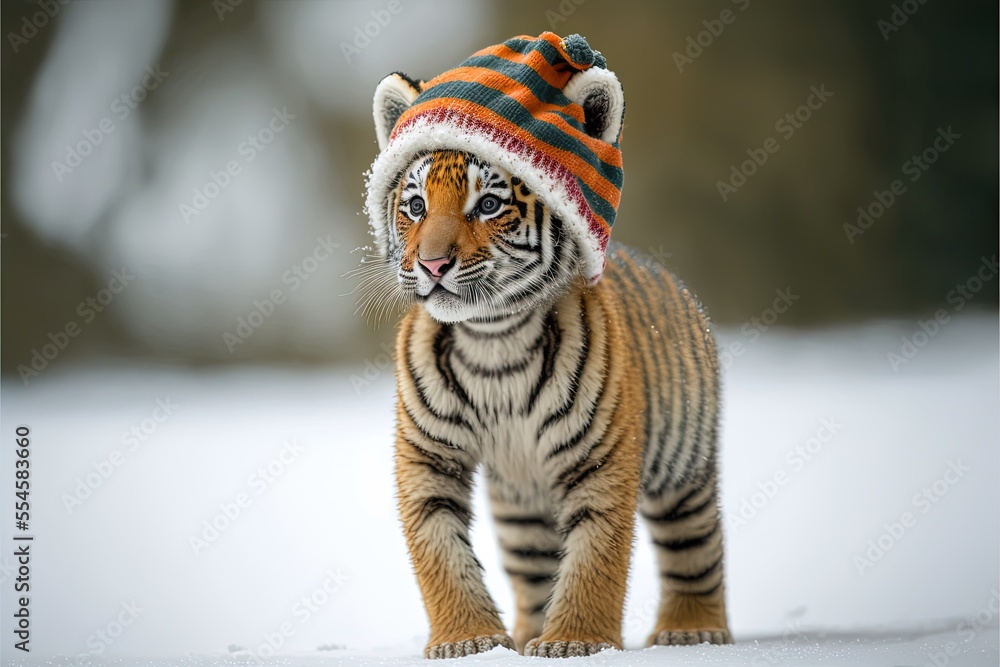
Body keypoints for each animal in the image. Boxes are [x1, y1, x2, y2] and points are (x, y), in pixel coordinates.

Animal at [359, 33, 732, 659]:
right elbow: (439, 551)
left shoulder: (601, 458)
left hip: (683, 466)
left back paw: (692, 631)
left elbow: (595, 558)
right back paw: (528, 634)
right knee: (535, 572)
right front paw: (470, 642)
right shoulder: (428, 455)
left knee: (696, 548)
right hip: (521, 509)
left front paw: (576, 642)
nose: (431, 264)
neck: (494, 339)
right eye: (414, 206)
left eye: (487, 205)